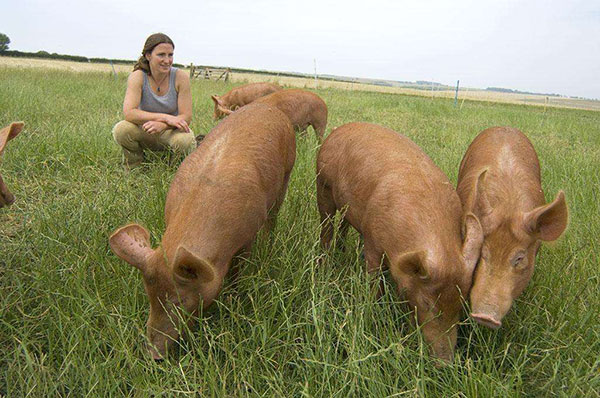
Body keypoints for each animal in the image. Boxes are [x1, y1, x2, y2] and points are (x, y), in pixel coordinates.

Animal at [109, 103, 296, 360]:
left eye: (179, 301)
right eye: (149, 296)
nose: (153, 355)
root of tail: (267, 105)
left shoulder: (246, 238)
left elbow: (238, 271)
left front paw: (233, 298)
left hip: (287, 171)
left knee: (274, 216)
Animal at [318, 122, 482, 360]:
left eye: (461, 303)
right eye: (427, 303)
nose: (445, 362)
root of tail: (339, 130)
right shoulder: (373, 239)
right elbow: (373, 277)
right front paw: (373, 305)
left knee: (343, 225)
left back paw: (341, 250)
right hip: (322, 184)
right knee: (326, 225)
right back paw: (325, 261)